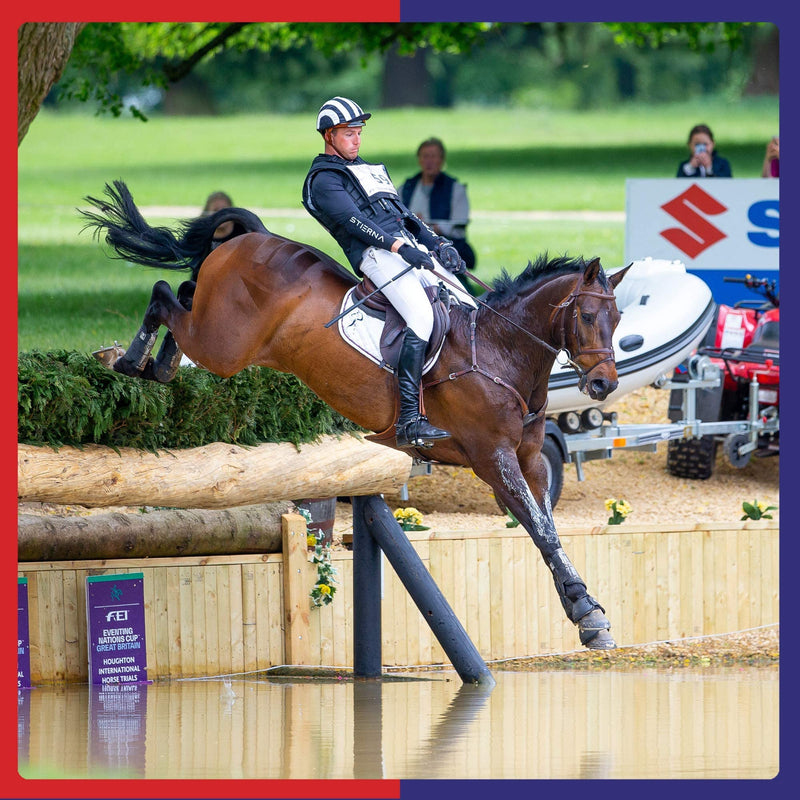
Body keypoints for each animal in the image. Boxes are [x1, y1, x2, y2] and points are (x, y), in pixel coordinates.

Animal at [82, 180, 630, 650]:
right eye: (586, 316)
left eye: (618, 316)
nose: (604, 384)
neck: (500, 351)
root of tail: (250, 238)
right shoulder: (492, 458)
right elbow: (539, 527)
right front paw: (587, 612)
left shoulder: (530, 460)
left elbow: (547, 528)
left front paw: (585, 613)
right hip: (223, 346)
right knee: (163, 294)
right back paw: (130, 359)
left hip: (215, 330)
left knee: (181, 297)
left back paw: (157, 364)